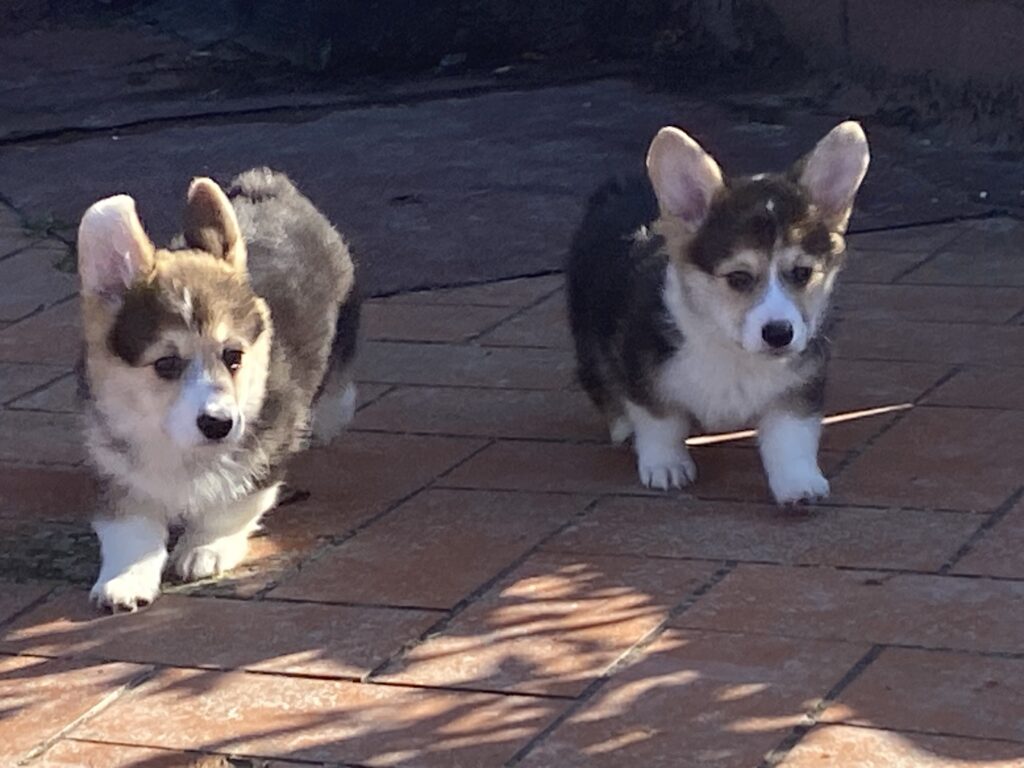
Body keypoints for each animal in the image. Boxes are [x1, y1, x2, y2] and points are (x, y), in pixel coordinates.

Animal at [75, 169, 358, 614]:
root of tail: (267, 184)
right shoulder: (115, 465)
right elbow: (130, 529)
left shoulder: (265, 447)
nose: (219, 424)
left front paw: (205, 547)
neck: (181, 449)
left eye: (233, 356)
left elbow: (234, 501)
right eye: (166, 364)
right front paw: (125, 579)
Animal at [565, 120, 868, 505]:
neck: (730, 347)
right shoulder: (644, 375)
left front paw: (799, 482)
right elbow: (659, 424)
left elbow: (791, 438)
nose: (779, 333)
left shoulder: (799, 390)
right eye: (738, 277)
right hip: (588, 328)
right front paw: (666, 465)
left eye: (802, 273)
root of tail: (616, 189)